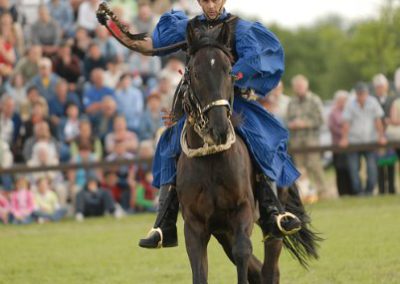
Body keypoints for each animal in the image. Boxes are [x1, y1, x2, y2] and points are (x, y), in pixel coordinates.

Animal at [177, 22, 320, 284]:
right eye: (196, 73)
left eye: (229, 71)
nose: (219, 128)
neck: (211, 159)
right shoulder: (195, 226)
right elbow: (200, 270)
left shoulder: (242, 211)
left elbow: (243, 252)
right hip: (222, 232)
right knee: (258, 269)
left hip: (270, 224)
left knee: (270, 268)